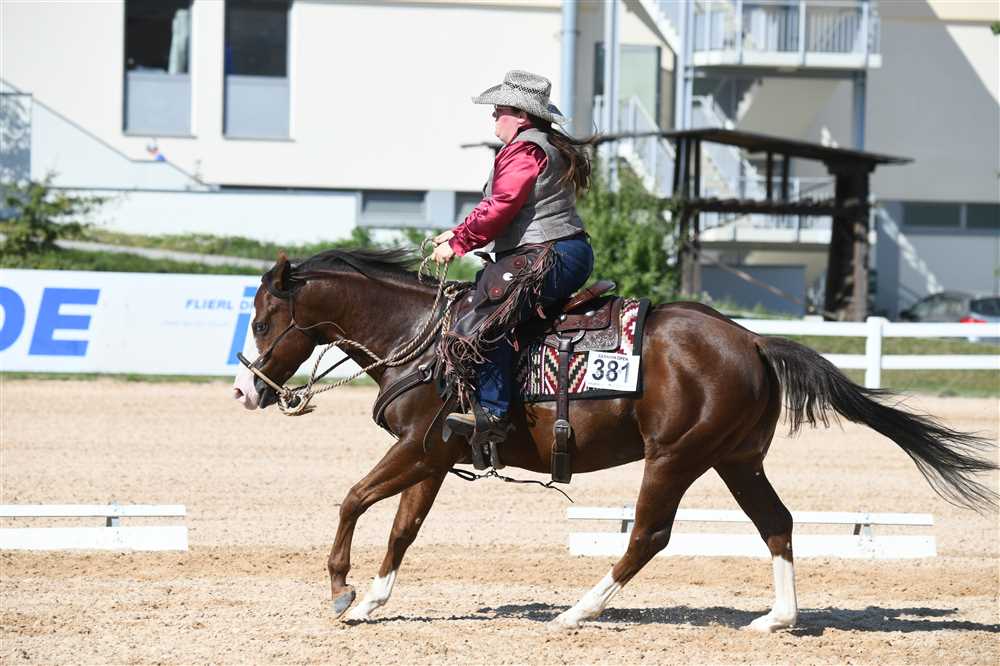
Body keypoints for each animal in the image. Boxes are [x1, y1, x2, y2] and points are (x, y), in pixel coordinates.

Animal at [232, 247, 997, 631]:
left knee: (649, 535)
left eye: (263, 321)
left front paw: (341, 590)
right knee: (776, 522)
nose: (246, 391)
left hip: (676, 458)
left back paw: (576, 612)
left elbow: (353, 500)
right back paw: (776, 620)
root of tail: (752, 340)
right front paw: (372, 600)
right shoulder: (437, 457)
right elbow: (402, 528)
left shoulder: (417, 449)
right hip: (736, 460)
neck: (423, 340)